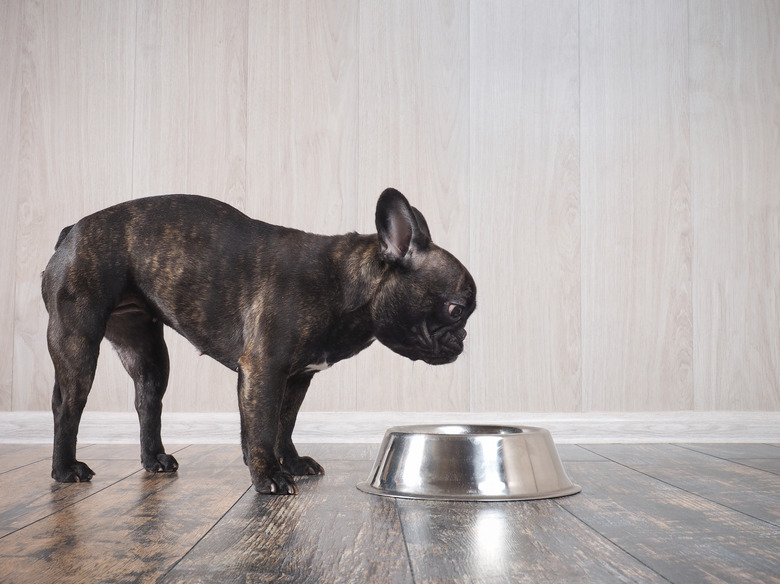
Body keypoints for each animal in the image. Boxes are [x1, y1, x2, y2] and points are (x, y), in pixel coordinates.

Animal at [42, 189, 476, 496]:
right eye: (456, 310)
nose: (464, 339)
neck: (344, 284)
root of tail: (71, 231)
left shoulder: (297, 377)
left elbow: (285, 422)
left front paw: (291, 463)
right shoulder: (265, 369)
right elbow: (263, 423)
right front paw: (268, 475)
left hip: (147, 351)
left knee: (147, 400)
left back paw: (154, 459)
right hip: (78, 340)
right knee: (67, 405)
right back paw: (65, 470)